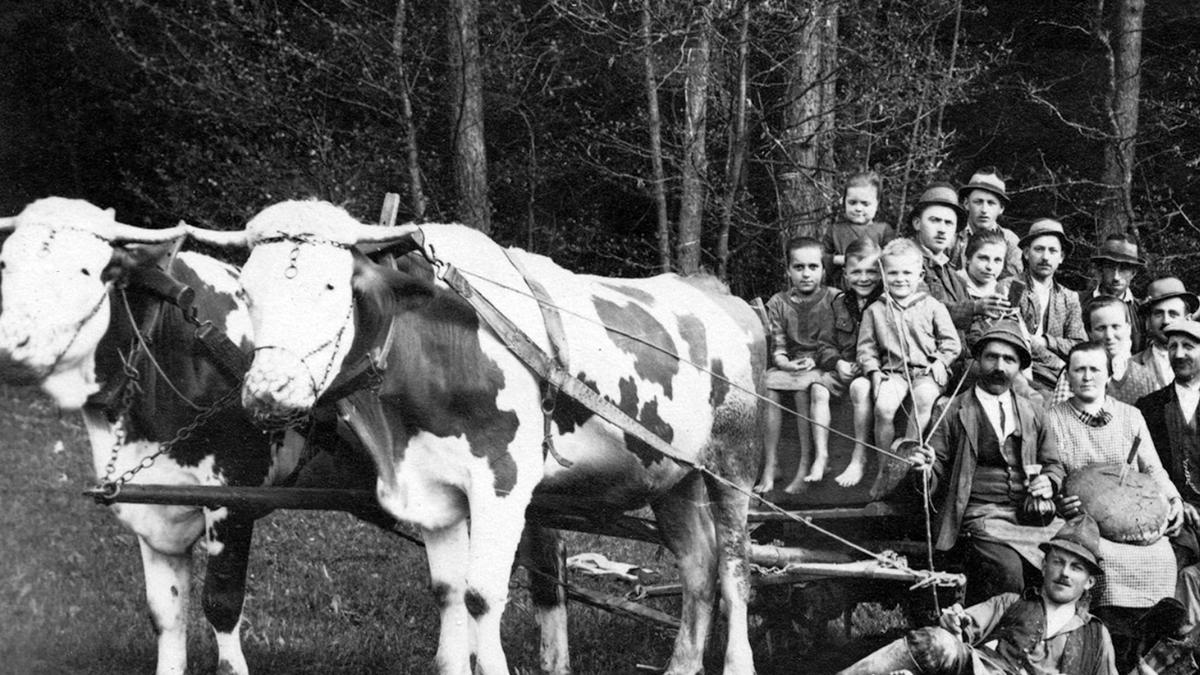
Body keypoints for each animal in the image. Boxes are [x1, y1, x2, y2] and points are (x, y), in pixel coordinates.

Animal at [0, 196, 372, 672]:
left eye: (86, 270)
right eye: (6, 263)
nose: (12, 345)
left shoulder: (232, 496)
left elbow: (221, 604)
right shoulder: (151, 499)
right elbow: (165, 612)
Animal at [189, 199, 768, 672]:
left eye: (331, 287)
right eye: (246, 291)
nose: (268, 392)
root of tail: (718, 293)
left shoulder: (503, 484)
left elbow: (481, 596)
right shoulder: (434, 489)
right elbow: (448, 593)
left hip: (732, 467)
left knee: (735, 572)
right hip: (673, 476)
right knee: (699, 569)